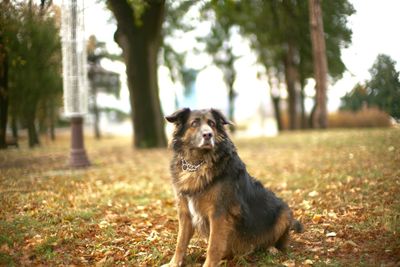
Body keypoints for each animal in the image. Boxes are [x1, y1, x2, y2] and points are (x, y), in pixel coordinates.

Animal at [164, 108, 302, 266]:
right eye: (194, 123)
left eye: (211, 123)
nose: (208, 135)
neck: (198, 163)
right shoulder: (185, 213)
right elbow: (180, 242)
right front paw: (174, 263)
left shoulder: (218, 214)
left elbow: (213, 246)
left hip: (284, 213)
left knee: (276, 242)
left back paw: (271, 248)